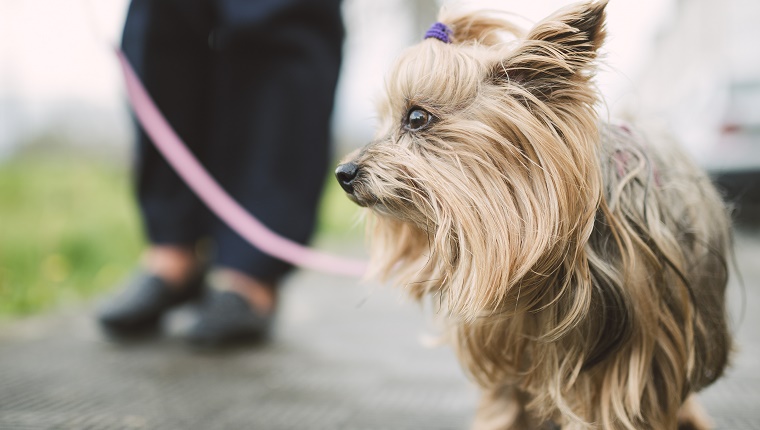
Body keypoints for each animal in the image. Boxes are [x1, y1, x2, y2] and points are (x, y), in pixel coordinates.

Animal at [336, 1, 732, 428]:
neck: (547, 274)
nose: (343, 173)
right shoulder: (502, 347)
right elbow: (505, 401)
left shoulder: (634, 361)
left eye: (416, 117)